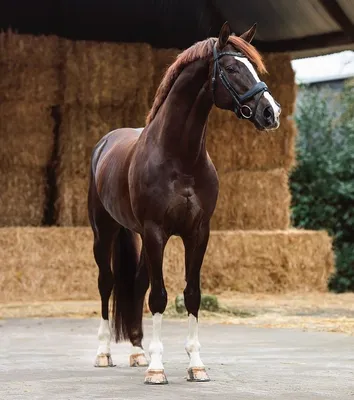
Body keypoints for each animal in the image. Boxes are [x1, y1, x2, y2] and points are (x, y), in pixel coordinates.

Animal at [87, 21, 280, 384]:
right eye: (231, 68)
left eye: (251, 65)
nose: (271, 112)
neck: (179, 157)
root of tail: (104, 144)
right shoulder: (156, 232)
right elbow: (159, 296)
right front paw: (157, 369)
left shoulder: (198, 233)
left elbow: (191, 294)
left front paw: (196, 365)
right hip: (104, 233)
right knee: (107, 284)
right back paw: (105, 353)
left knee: (136, 285)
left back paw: (137, 352)